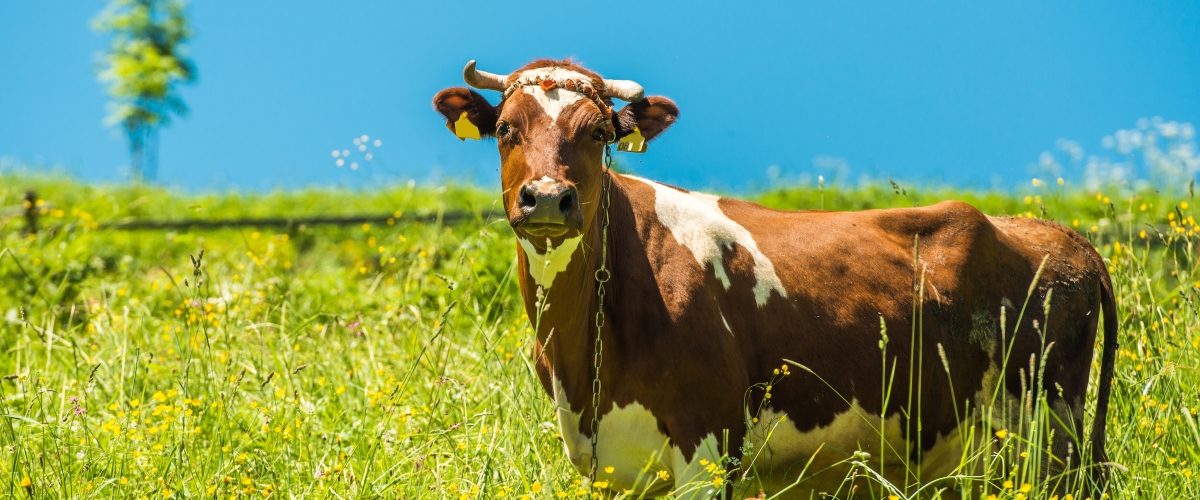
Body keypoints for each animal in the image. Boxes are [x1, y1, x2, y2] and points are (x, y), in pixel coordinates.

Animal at [432, 58, 1113, 494]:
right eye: (505, 129)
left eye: (598, 132)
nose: (548, 198)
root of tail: (1059, 235)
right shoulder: (611, 468)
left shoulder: (707, 450)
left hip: (1049, 434)